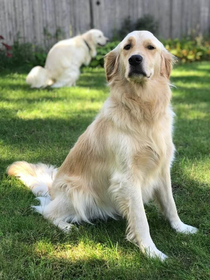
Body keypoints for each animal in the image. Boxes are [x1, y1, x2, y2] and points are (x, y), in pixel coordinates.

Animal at [7, 30, 197, 260]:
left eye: (150, 47)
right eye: (127, 47)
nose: (135, 59)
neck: (142, 107)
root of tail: (52, 188)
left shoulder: (162, 168)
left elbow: (170, 204)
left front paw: (181, 227)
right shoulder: (127, 177)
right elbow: (141, 219)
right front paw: (151, 251)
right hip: (78, 192)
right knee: (46, 211)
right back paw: (66, 226)